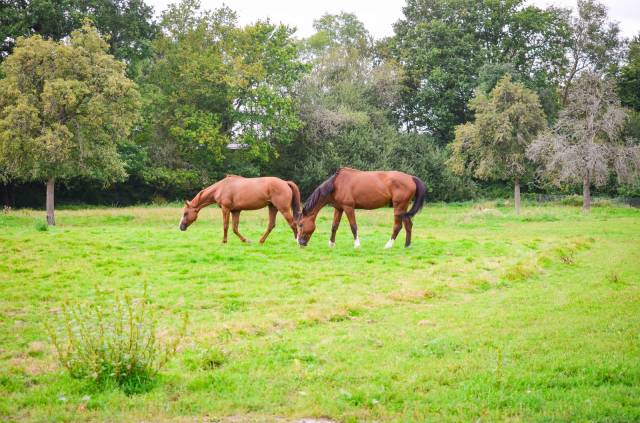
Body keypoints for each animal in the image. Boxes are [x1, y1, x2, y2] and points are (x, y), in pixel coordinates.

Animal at [297, 168, 426, 248]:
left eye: (301, 224)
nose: (300, 243)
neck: (336, 185)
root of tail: (411, 178)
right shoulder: (339, 209)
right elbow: (334, 226)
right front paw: (331, 244)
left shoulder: (348, 207)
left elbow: (353, 226)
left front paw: (357, 245)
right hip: (404, 208)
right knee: (408, 225)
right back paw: (407, 245)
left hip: (399, 207)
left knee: (398, 226)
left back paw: (388, 245)